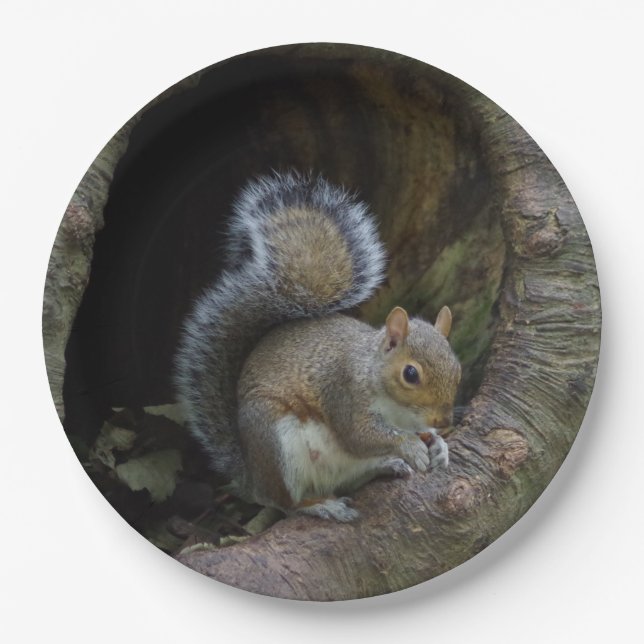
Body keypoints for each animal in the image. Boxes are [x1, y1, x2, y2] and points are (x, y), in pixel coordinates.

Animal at [174, 171, 461, 522]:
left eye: (457, 368)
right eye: (410, 374)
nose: (444, 421)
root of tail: (252, 477)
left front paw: (438, 445)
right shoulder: (343, 391)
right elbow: (359, 435)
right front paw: (408, 446)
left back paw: (387, 466)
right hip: (278, 443)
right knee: (285, 503)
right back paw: (322, 505)